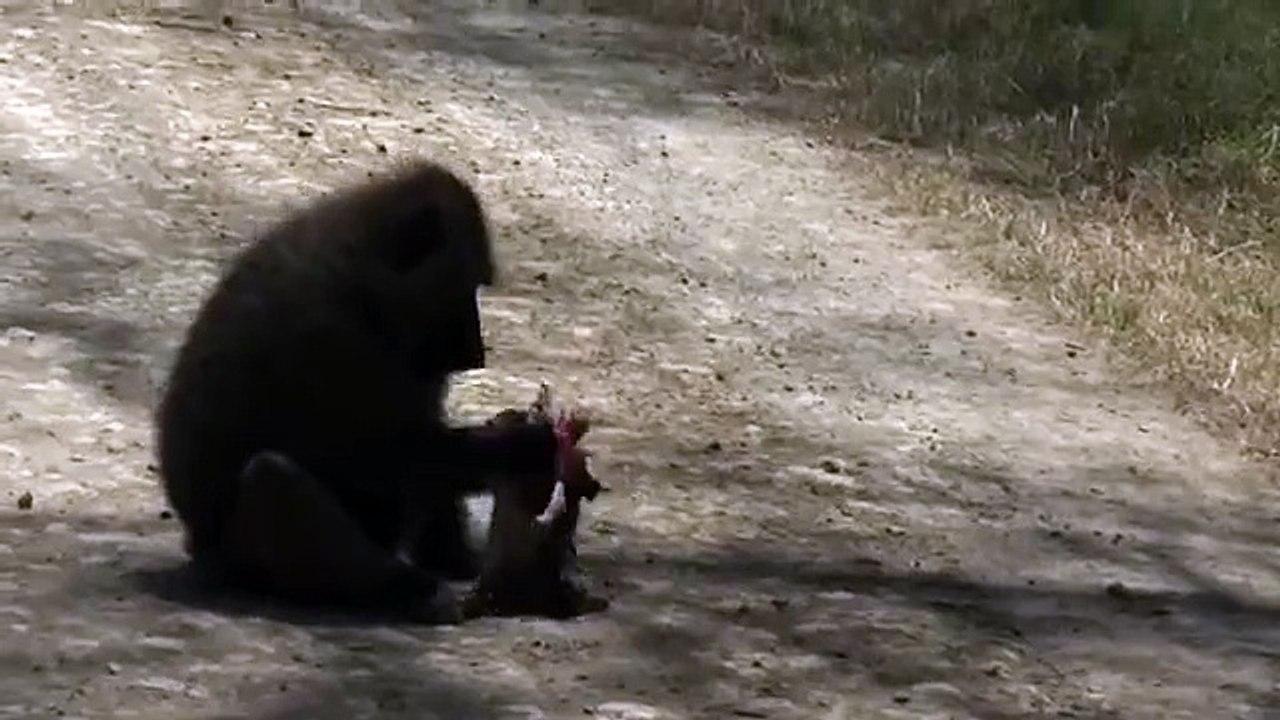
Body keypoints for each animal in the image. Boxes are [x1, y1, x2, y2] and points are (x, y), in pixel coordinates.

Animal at [154, 159, 561, 624]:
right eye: (465, 286)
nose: (475, 354)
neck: (361, 279)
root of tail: (198, 549)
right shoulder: (332, 339)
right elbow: (385, 458)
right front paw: (524, 447)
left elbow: (419, 442)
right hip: (239, 558)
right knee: (271, 478)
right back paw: (405, 591)